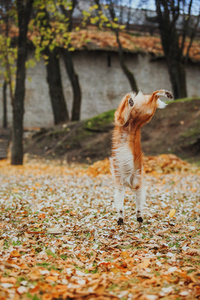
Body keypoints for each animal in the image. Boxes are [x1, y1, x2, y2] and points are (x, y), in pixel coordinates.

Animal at [109, 89, 173, 225]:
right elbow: (127, 206)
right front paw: (126, 218)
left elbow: (129, 206)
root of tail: (133, 122)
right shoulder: (125, 185)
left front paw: (129, 217)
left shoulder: (128, 186)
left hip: (137, 115)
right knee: (150, 97)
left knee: (150, 96)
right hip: (143, 114)